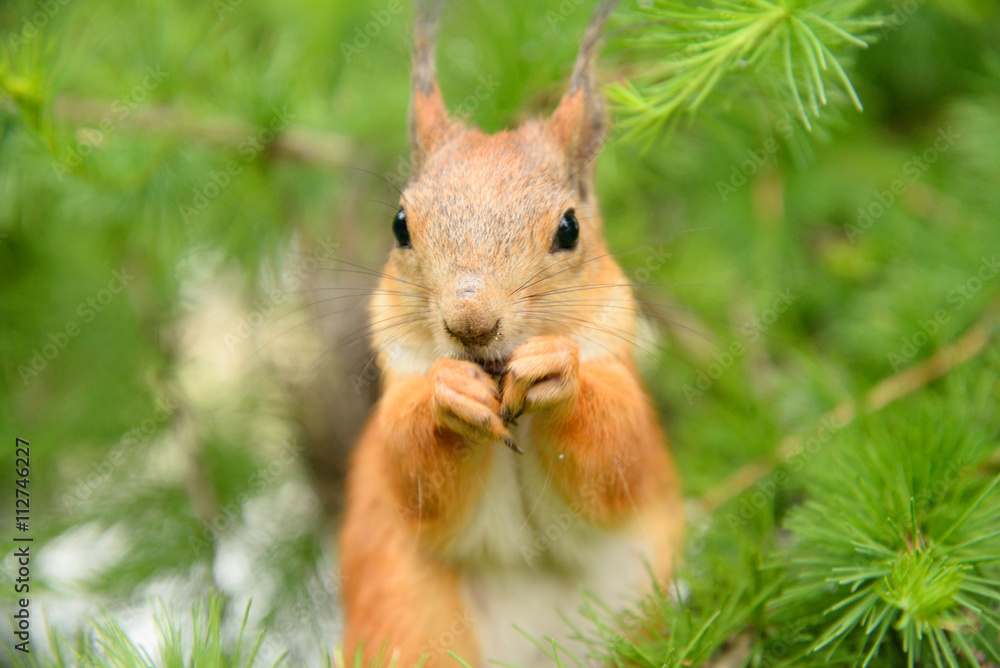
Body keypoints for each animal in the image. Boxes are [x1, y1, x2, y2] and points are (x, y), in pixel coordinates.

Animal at [338, 1, 683, 665]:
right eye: (400, 225)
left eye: (569, 228)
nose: (471, 323)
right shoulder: (396, 405)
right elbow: (414, 474)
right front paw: (449, 395)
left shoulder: (625, 396)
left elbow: (619, 455)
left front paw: (557, 368)